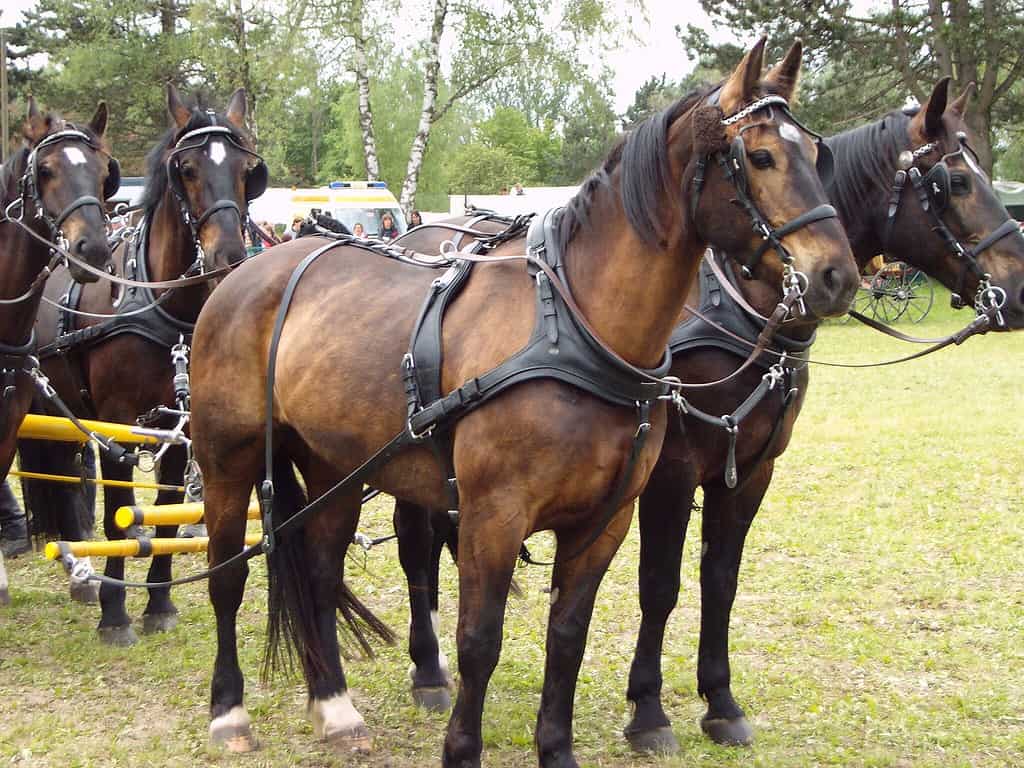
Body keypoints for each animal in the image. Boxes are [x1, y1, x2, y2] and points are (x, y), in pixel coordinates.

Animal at [17, 84, 266, 644]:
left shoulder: (183, 424)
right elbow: (117, 514)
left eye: (247, 171)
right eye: (187, 168)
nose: (230, 257)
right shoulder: (117, 419)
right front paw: (116, 613)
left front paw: (159, 601)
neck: (165, 306)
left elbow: (169, 510)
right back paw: (86, 578)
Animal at [189, 38, 857, 766]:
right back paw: (228, 711)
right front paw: (462, 748)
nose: (838, 275)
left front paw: (557, 748)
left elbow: (568, 638)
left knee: (316, 569)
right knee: (226, 578)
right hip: (226, 461)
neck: (576, 329)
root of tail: (245, 271)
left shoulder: (605, 521)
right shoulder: (494, 516)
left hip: (333, 467)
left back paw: (334, 706)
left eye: (816, 155)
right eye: (760, 156)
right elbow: (479, 642)